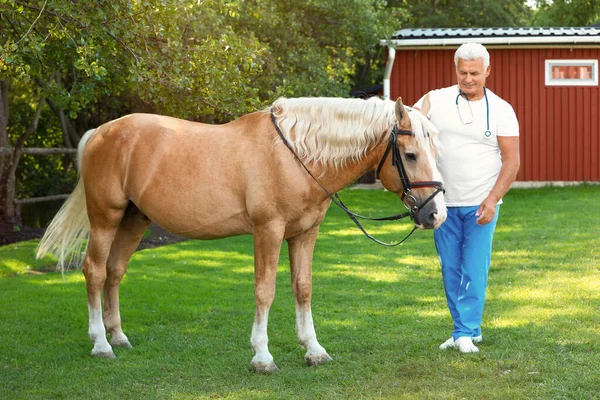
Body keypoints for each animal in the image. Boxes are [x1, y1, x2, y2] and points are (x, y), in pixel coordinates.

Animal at [34, 96, 446, 372]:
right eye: (410, 154)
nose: (436, 214)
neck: (294, 155)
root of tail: (102, 132)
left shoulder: (305, 233)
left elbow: (303, 288)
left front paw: (313, 350)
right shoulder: (268, 230)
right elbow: (265, 291)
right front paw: (262, 356)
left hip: (135, 219)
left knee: (115, 272)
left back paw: (118, 336)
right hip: (106, 217)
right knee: (94, 271)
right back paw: (101, 344)